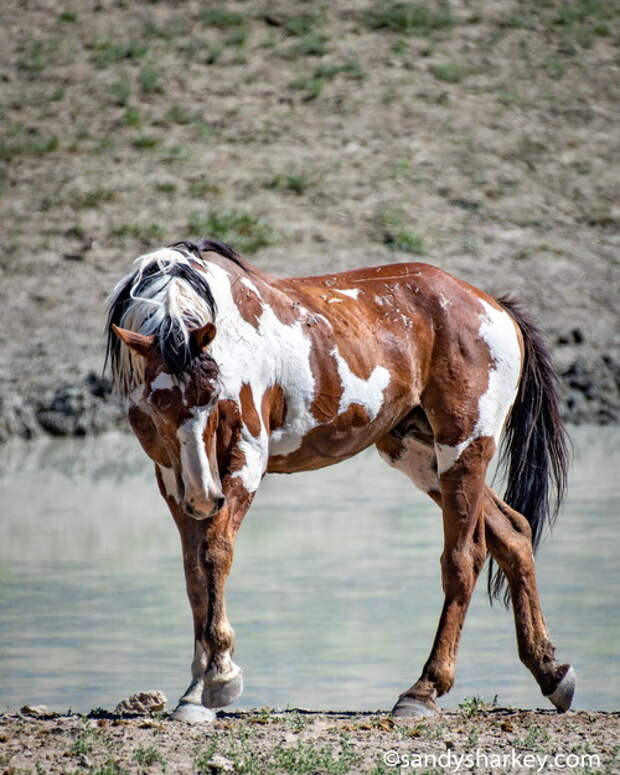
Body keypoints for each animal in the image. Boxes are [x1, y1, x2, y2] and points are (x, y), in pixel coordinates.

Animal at [105, 239, 572, 724]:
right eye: (155, 403)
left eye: (213, 392)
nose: (203, 495)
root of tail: (493, 305)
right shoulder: (171, 478)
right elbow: (194, 573)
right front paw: (196, 692)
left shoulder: (245, 458)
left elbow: (215, 555)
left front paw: (219, 680)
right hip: (421, 455)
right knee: (513, 534)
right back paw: (552, 673)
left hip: (464, 449)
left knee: (463, 559)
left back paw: (422, 691)